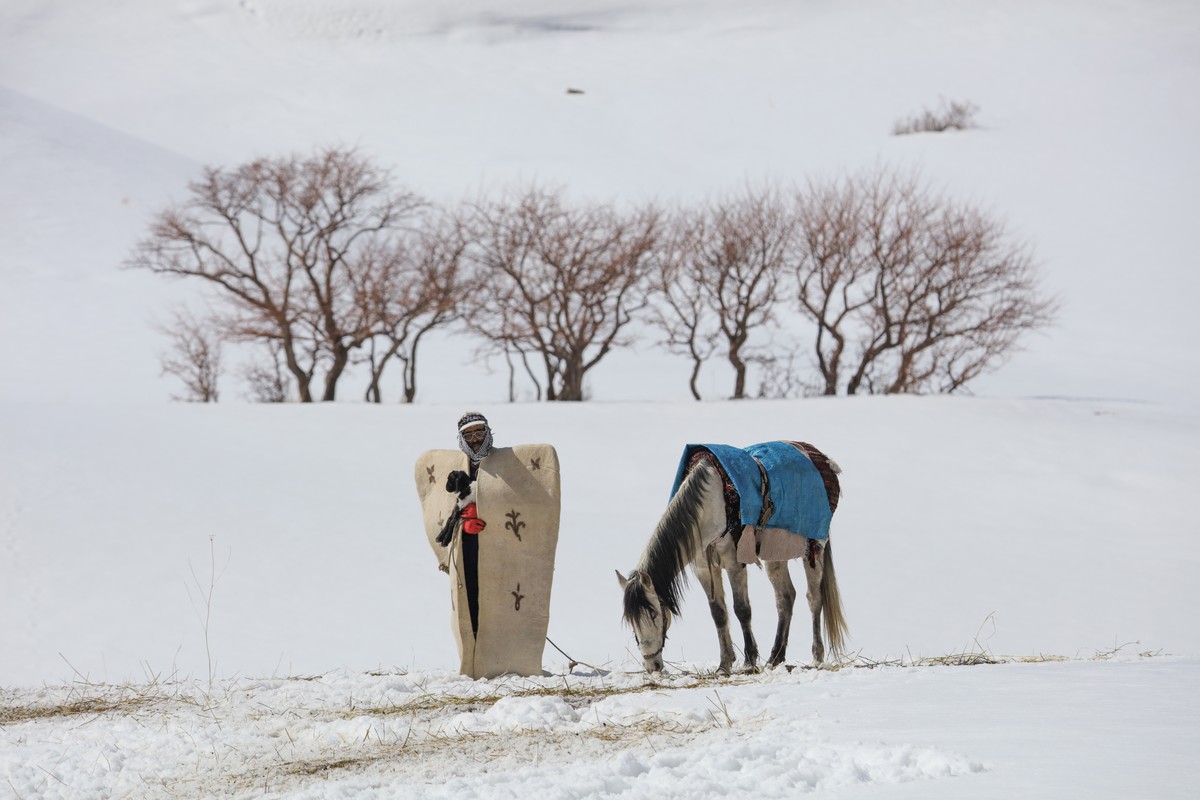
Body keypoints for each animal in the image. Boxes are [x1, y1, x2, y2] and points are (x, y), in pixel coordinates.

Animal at [619, 443, 844, 676]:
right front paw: (724, 665)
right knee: (785, 597)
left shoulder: (734, 562)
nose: (651, 665)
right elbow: (718, 613)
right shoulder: (704, 568)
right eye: (631, 621)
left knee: (814, 598)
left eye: (654, 614)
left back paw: (817, 657)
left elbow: (742, 609)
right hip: (775, 553)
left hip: (814, 548)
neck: (712, 504)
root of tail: (823, 459)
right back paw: (775, 658)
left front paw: (749, 662)